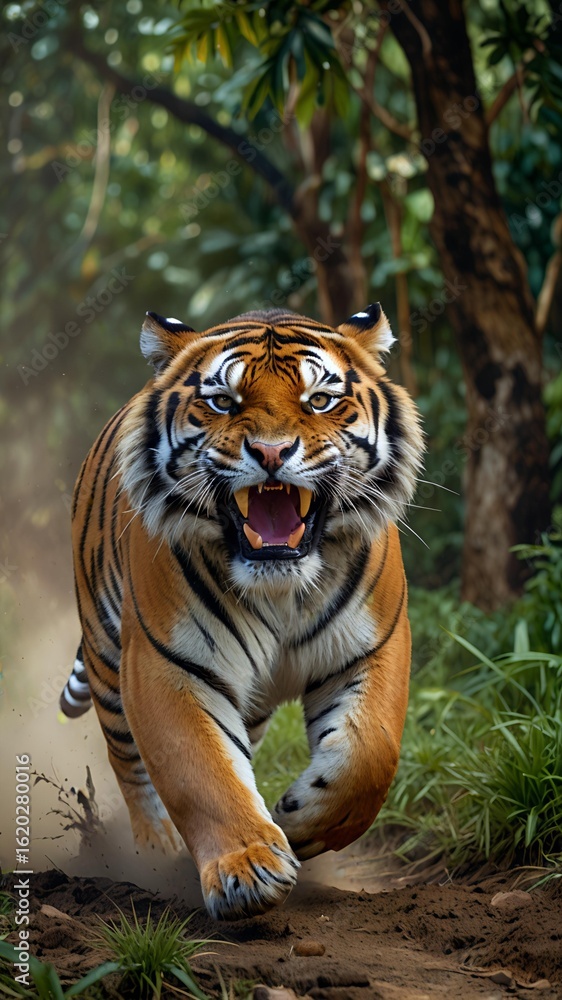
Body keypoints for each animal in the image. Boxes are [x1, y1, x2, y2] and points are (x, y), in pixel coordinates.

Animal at [61, 303, 424, 920]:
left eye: (319, 400)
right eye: (223, 402)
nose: (272, 454)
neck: (281, 587)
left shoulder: (374, 645)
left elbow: (371, 753)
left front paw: (300, 820)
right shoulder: (168, 664)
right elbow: (202, 771)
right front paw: (247, 868)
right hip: (110, 664)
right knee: (129, 765)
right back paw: (154, 853)